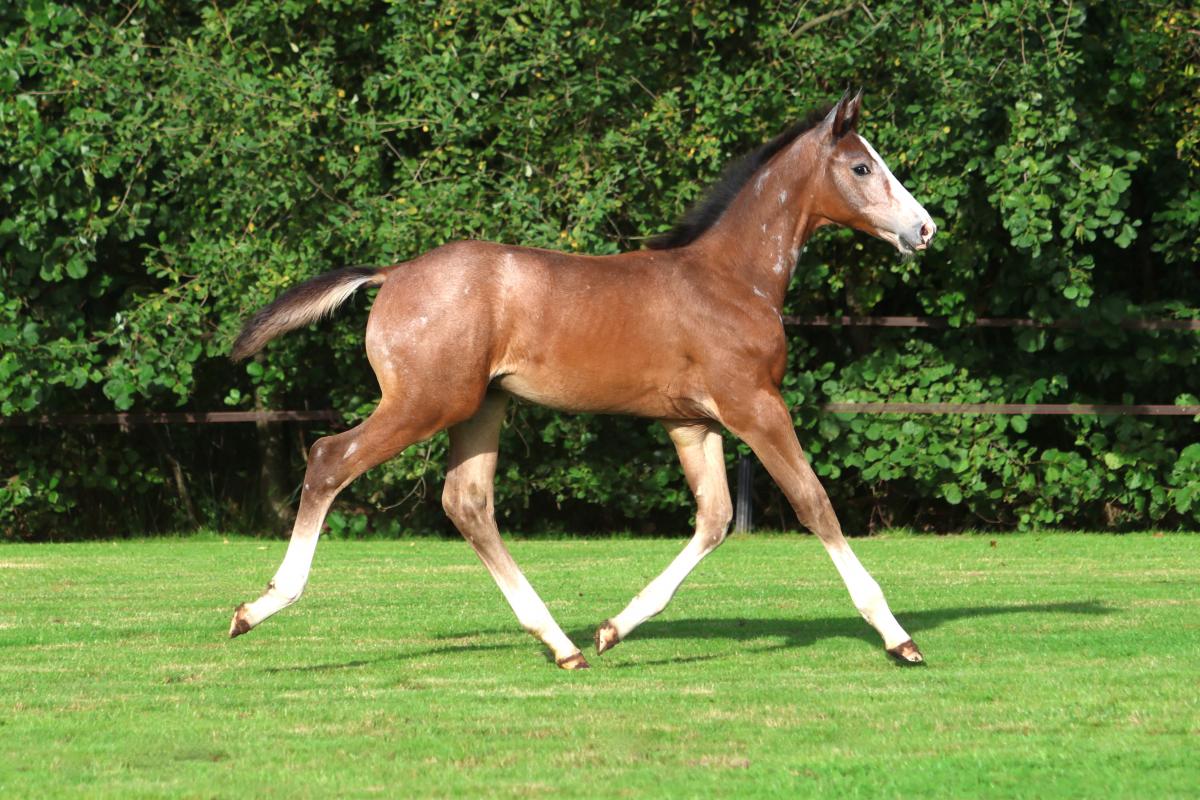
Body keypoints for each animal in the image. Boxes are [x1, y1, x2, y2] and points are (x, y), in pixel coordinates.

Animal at [227, 90, 937, 669]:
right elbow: (814, 503)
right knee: (329, 458)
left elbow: (714, 519)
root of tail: (392, 273)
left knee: (468, 503)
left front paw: (612, 629)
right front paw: (898, 637)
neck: (731, 280)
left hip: (481, 407)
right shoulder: (754, 407)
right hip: (427, 402)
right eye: (863, 167)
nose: (924, 228)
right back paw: (260, 606)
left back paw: (563, 645)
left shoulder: (691, 423)